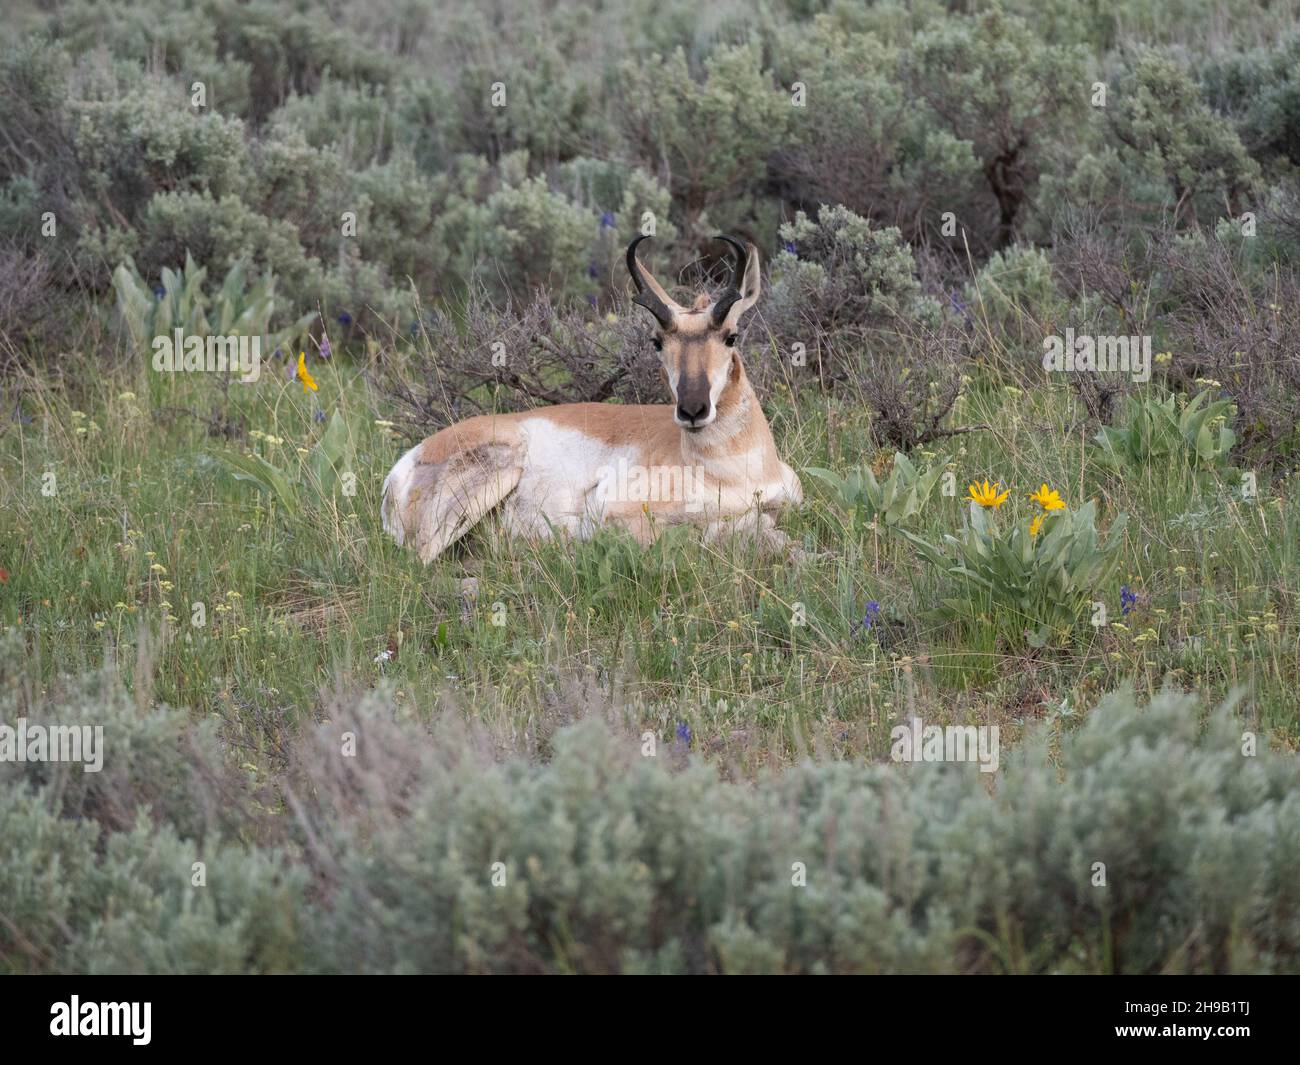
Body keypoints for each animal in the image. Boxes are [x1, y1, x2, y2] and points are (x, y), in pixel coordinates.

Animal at [380, 235, 803, 562]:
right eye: (657, 341)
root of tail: (403, 465)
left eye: (731, 336)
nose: (692, 410)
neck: (731, 473)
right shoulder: (614, 511)